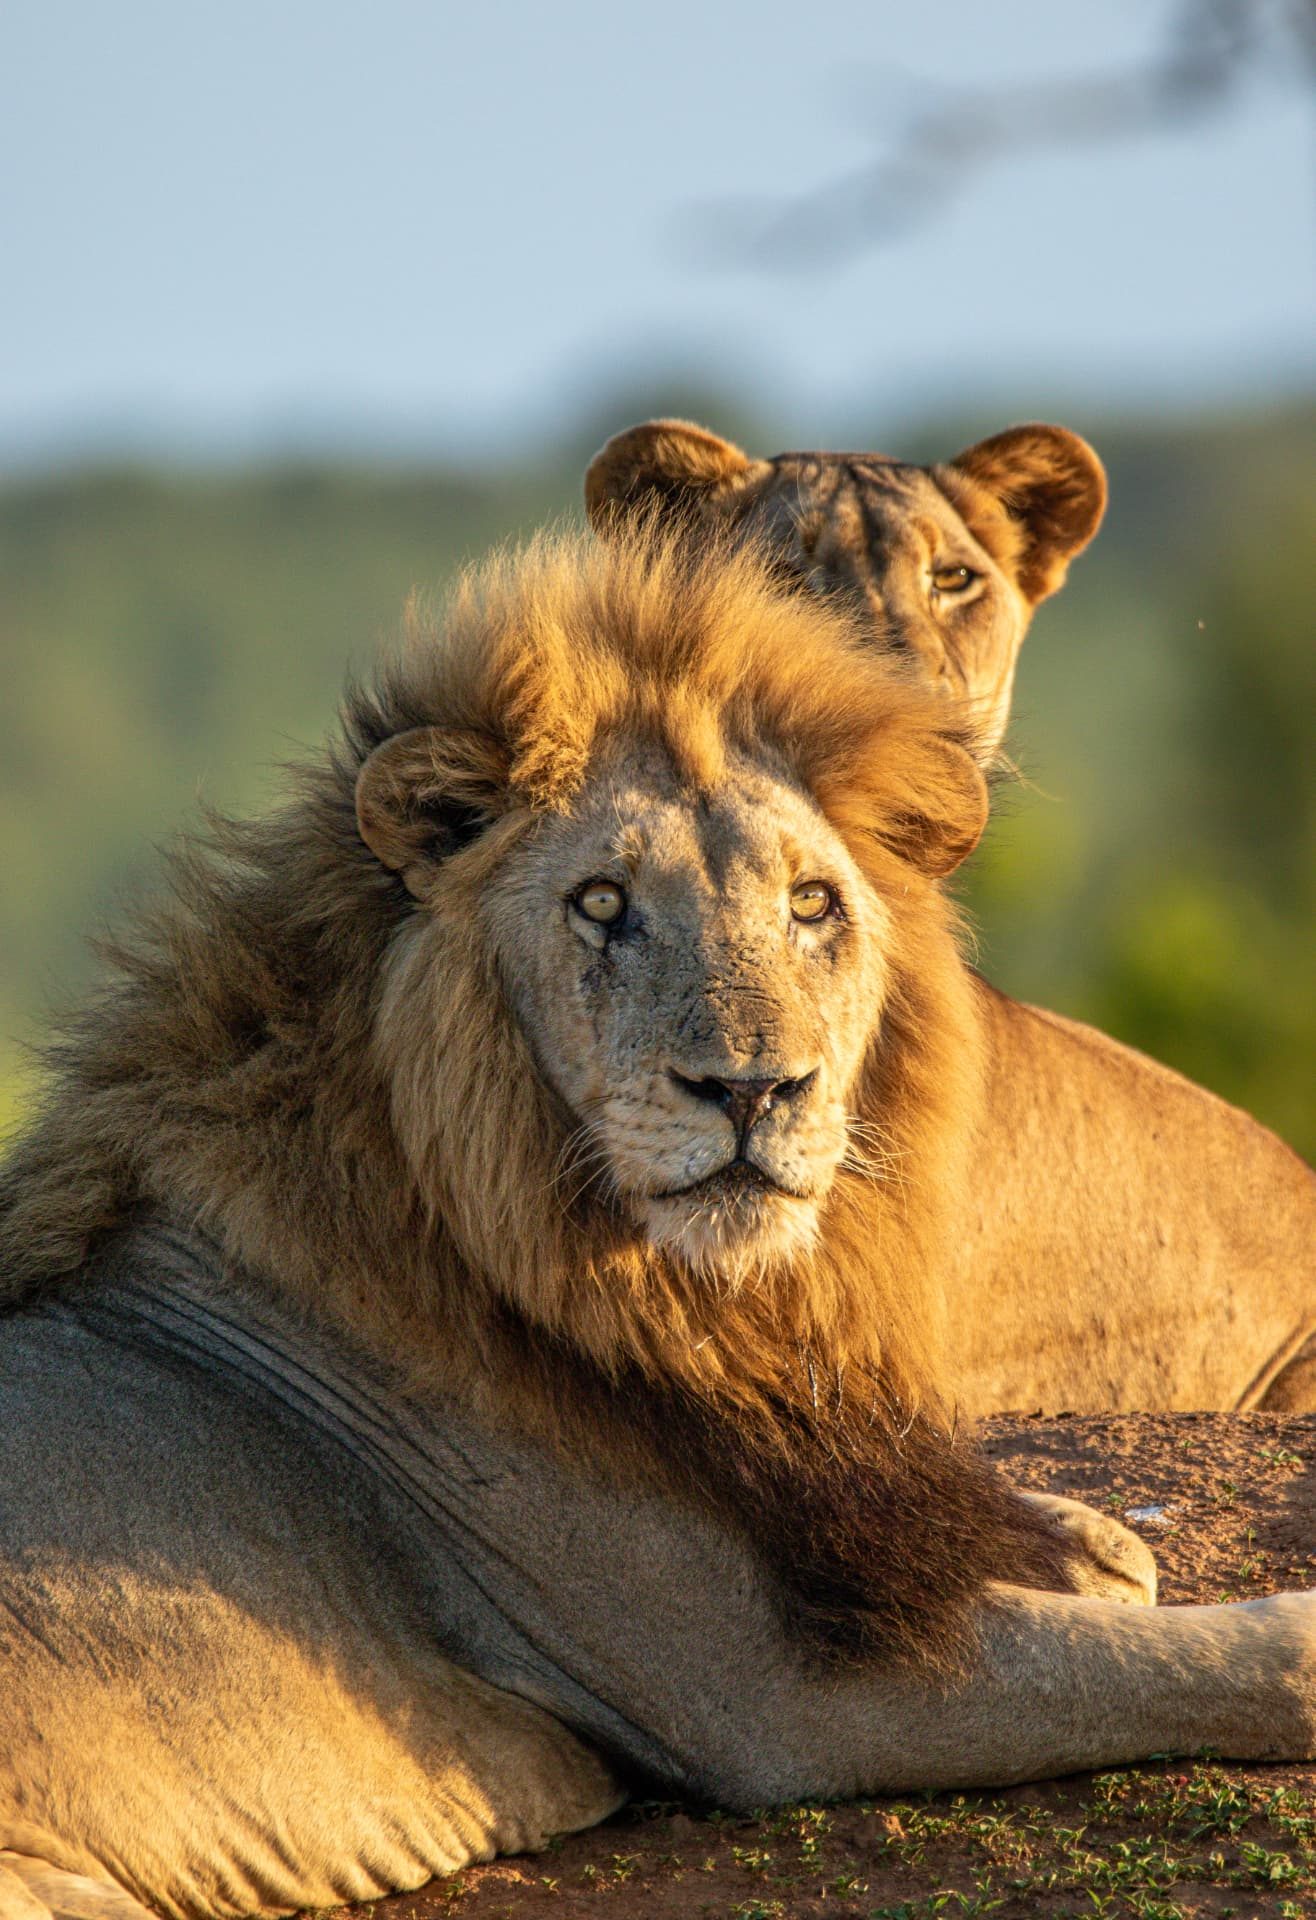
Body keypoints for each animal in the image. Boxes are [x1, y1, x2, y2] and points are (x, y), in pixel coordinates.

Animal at [2, 529, 1316, 1920]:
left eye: (810, 903)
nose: (751, 1089)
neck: (683, 1307)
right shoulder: (769, 1694)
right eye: (598, 904)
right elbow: (1203, 1662)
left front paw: (1081, 1548)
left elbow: (1074, 1550)